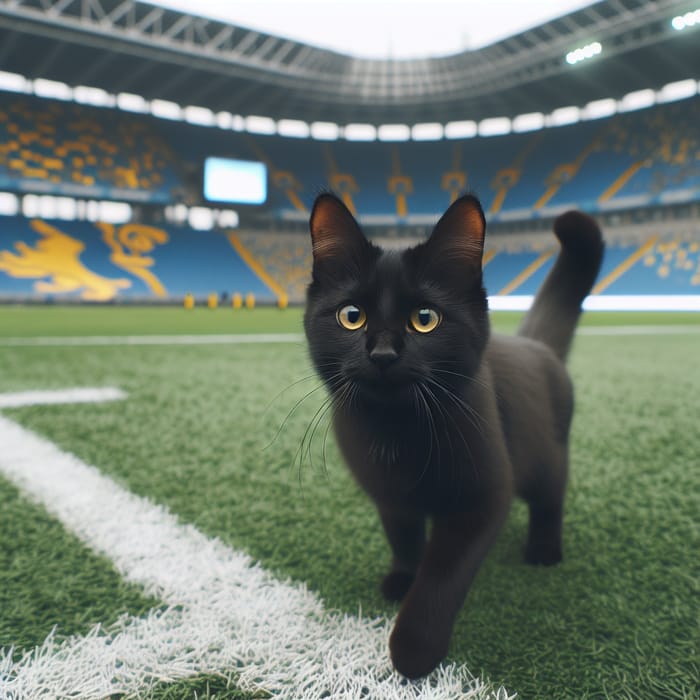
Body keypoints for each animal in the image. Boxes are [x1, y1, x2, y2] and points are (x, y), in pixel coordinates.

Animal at [304, 191, 604, 680]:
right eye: (352, 316)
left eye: (425, 319)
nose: (382, 353)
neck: (396, 430)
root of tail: (537, 344)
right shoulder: (389, 495)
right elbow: (403, 537)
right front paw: (402, 577)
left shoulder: (481, 498)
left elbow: (442, 576)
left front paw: (413, 649)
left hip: (548, 454)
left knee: (550, 496)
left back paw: (543, 549)